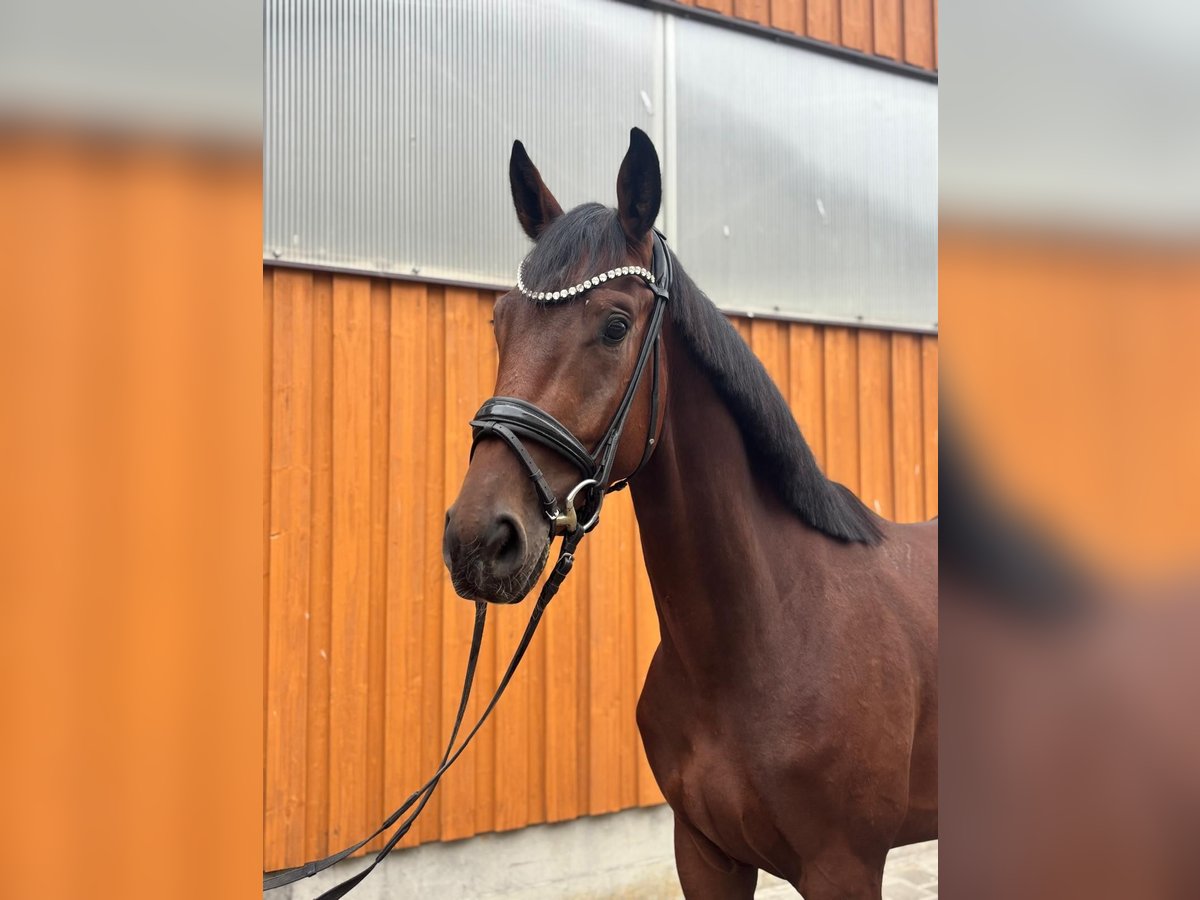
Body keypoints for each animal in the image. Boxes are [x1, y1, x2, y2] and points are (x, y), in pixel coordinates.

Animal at [443, 128, 938, 899]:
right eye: (500, 322)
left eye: (616, 326)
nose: (478, 539)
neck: (765, 636)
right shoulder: (703, 854)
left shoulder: (844, 868)